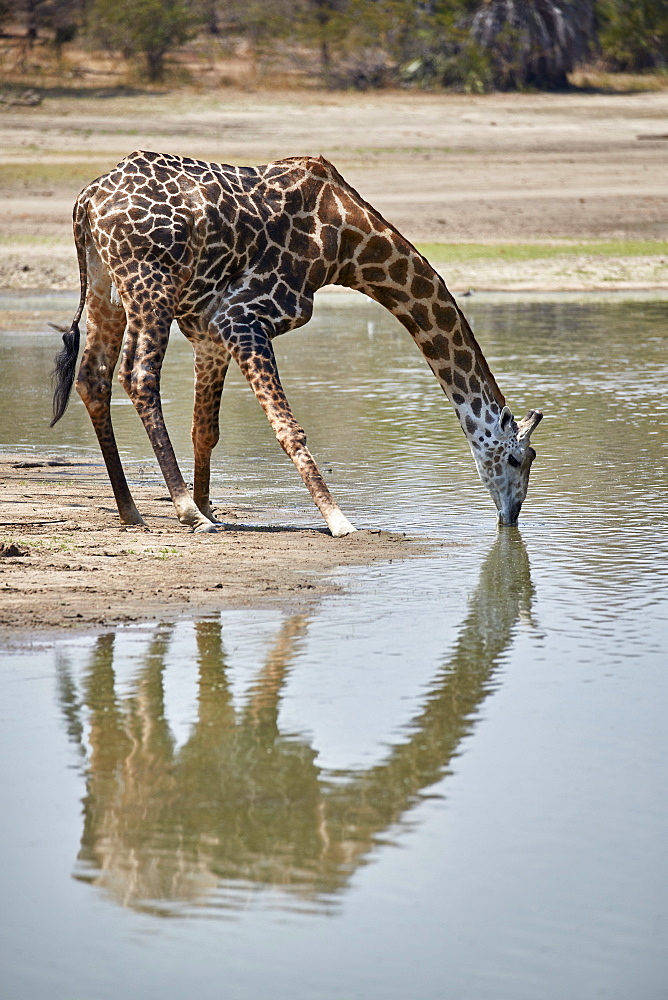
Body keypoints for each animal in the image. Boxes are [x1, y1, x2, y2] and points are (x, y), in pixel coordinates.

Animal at [51, 149, 544, 536]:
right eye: (521, 459)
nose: (511, 516)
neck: (346, 243)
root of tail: (86, 200)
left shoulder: (210, 332)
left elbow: (205, 429)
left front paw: (212, 506)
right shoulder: (243, 317)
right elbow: (288, 428)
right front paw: (339, 521)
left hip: (107, 288)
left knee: (93, 376)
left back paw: (132, 512)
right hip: (150, 285)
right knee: (138, 375)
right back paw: (186, 512)